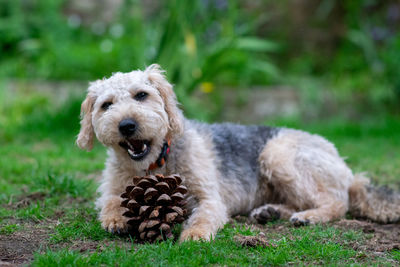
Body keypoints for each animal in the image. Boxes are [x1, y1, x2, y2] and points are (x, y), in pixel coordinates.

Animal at [77, 65, 400, 243]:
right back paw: (270, 212)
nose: (126, 125)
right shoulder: (112, 190)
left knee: (337, 202)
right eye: (106, 105)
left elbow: (203, 218)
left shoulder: (210, 199)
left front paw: (194, 236)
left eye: (141, 95)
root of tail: (346, 170)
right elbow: (109, 203)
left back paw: (308, 217)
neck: (154, 165)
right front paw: (116, 220)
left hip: (277, 154)